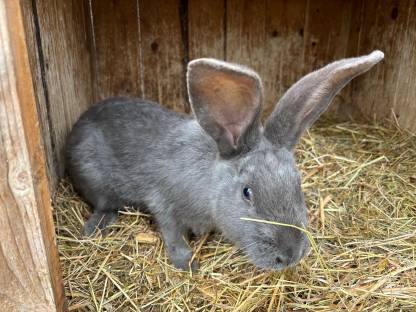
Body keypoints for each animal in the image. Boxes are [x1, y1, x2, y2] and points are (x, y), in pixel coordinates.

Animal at [66, 50, 384, 270]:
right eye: (247, 193)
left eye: (298, 184)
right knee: (104, 203)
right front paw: (188, 265)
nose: (291, 255)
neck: (209, 185)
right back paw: (95, 226)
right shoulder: (163, 203)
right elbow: (172, 234)